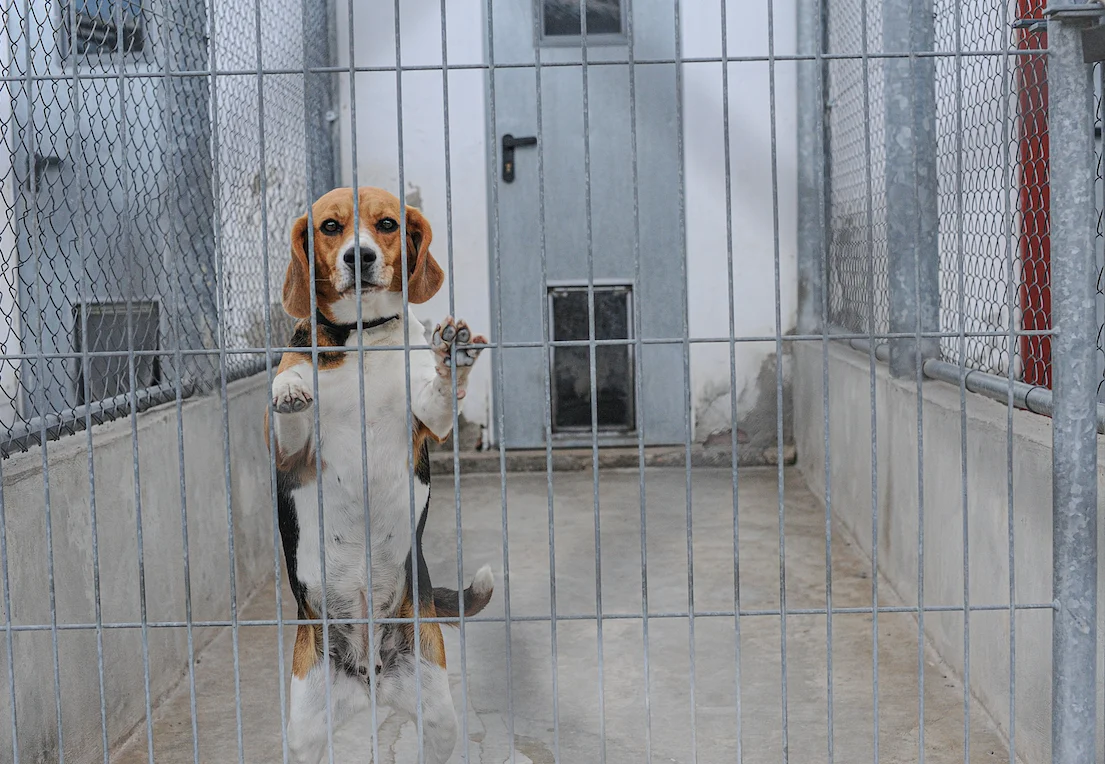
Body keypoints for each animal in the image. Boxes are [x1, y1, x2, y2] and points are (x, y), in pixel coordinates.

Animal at [267, 186, 492, 764]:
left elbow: (439, 395)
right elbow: (290, 388)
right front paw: (289, 387)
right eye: (329, 227)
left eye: (387, 224)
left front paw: (454, 357)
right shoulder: (290, 455)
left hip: (436, 709)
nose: (359, 257)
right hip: (304, 728)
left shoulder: (428, 423)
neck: (364, 336)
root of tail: (368, 674)